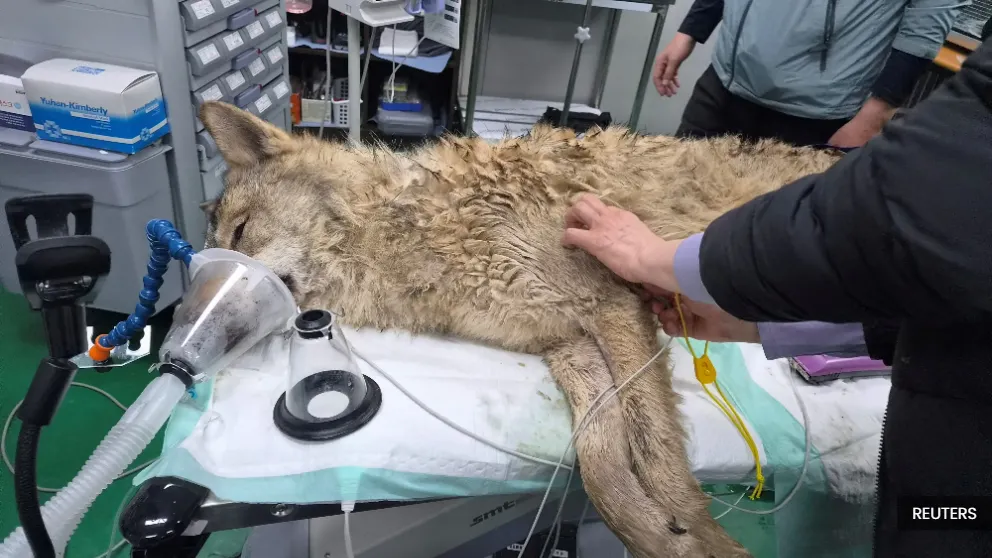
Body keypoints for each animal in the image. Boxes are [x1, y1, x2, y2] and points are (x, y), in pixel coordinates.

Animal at [198, 101, 840, 557]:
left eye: (241, 232)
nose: (193, 336)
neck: (407, 229)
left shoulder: (612, 304)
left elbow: (656, 454)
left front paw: (703, 538)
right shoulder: (569, 345)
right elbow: (603, 465)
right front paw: (662, 536)